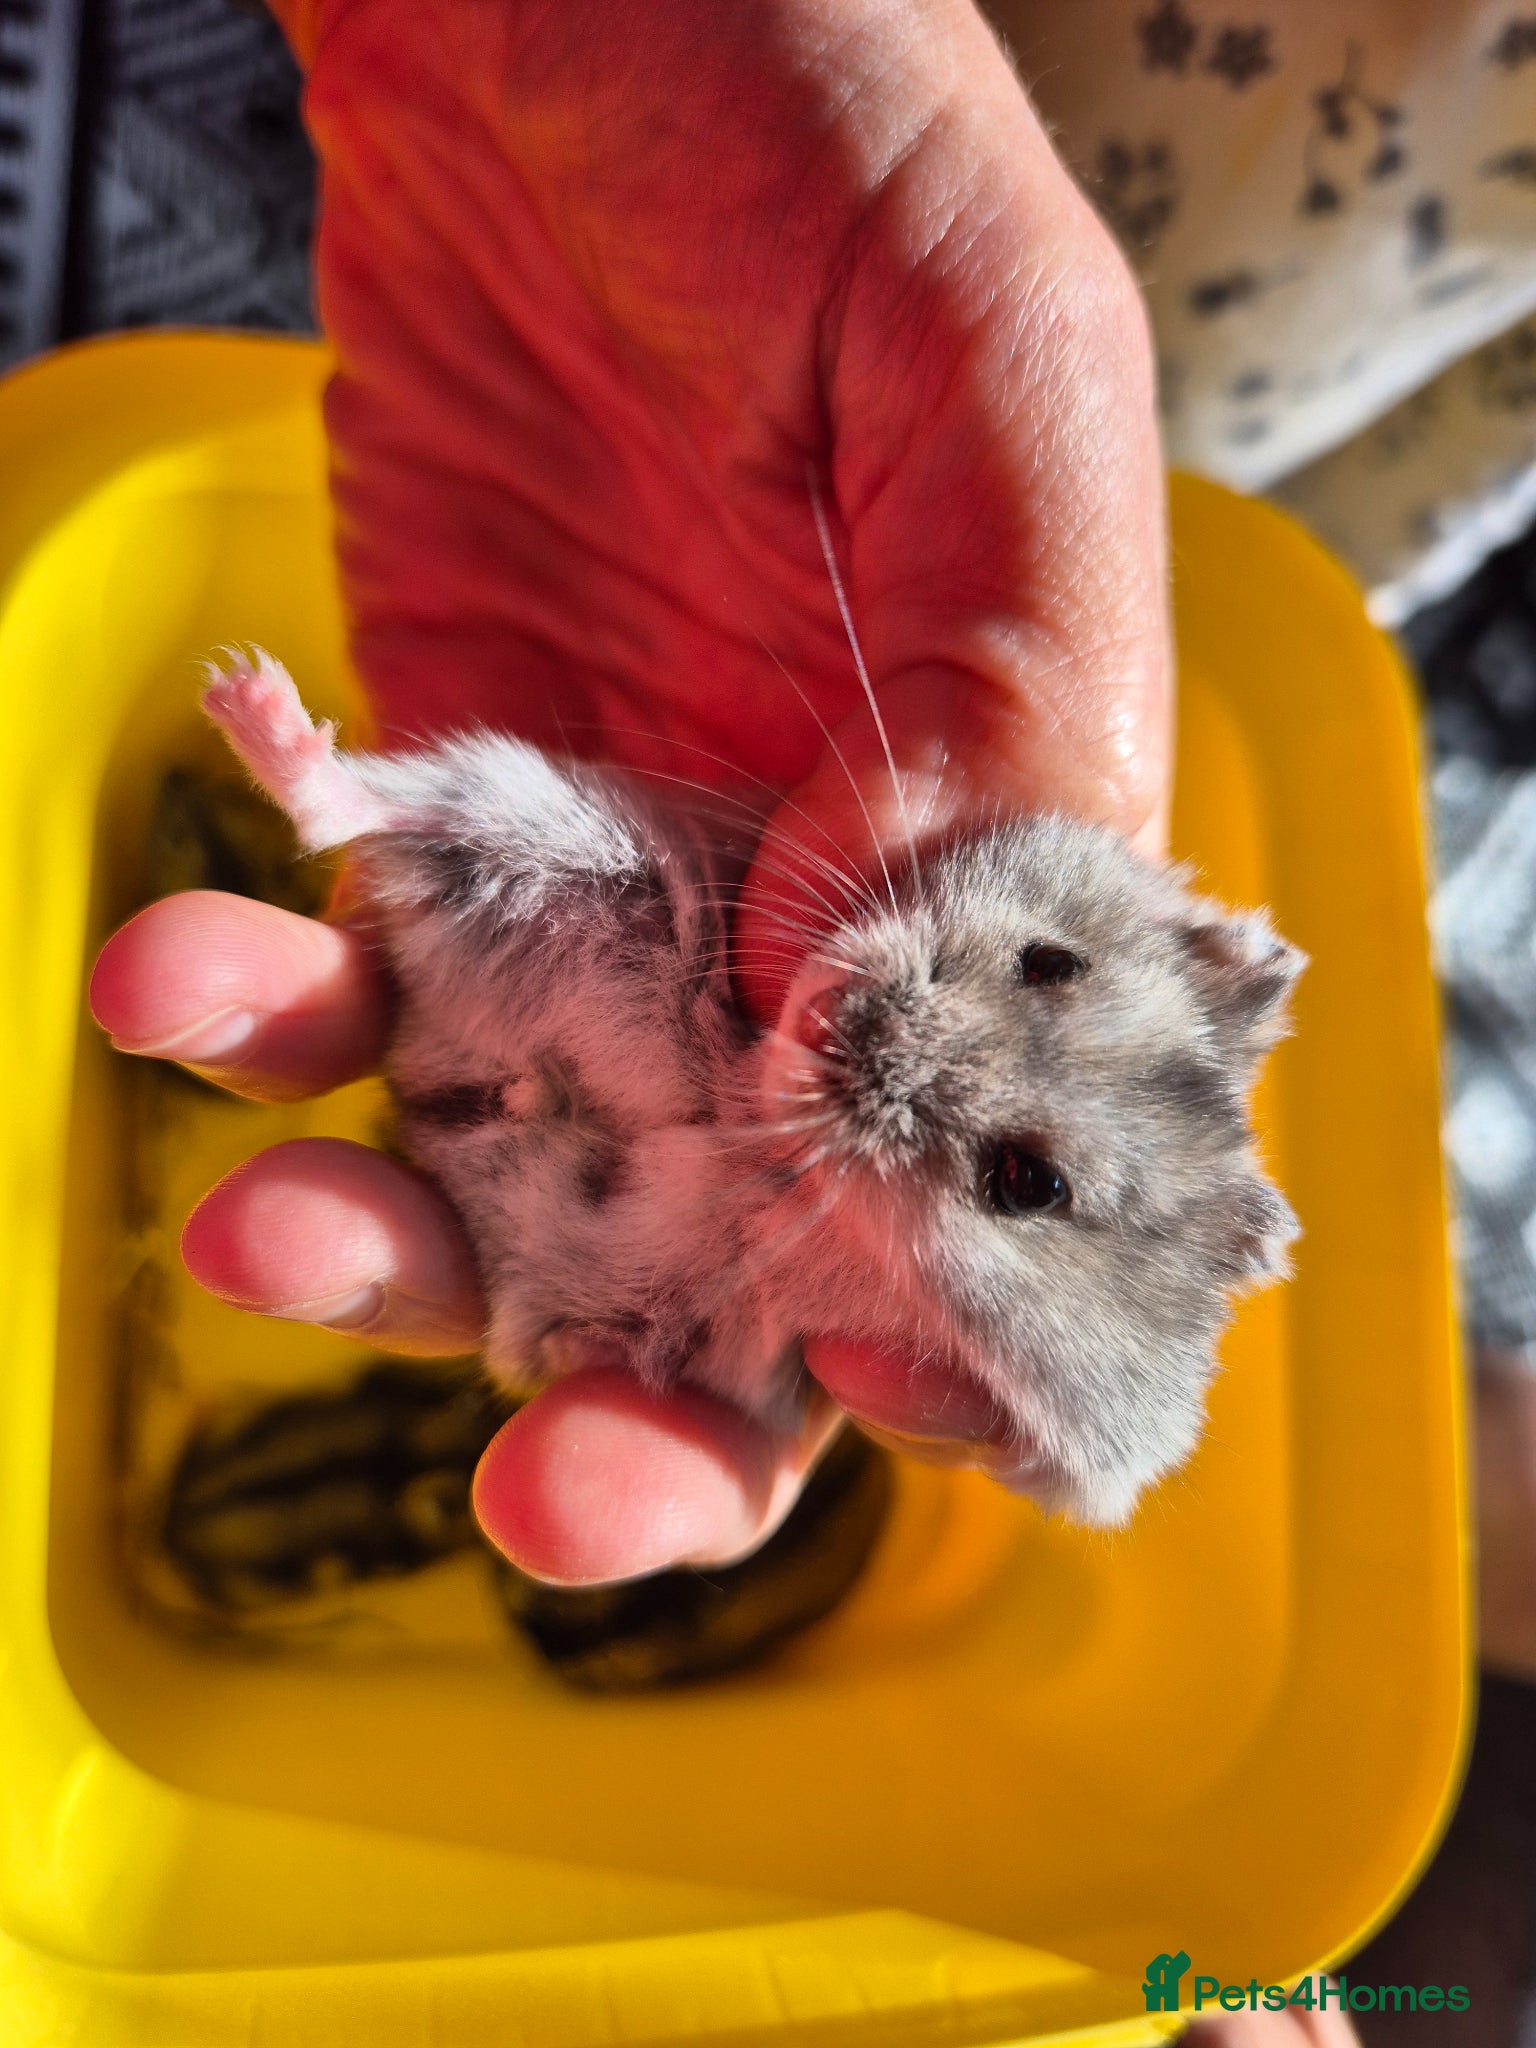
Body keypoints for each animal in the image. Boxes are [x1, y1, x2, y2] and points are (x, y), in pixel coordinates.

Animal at [200, 649, 1302, 1528]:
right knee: (359, 810)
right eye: (1050, 961)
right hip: (569, 827)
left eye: (1028, 1182)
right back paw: (248, 696)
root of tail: (410, 1067)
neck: (762, 1133)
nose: (830, 1017)